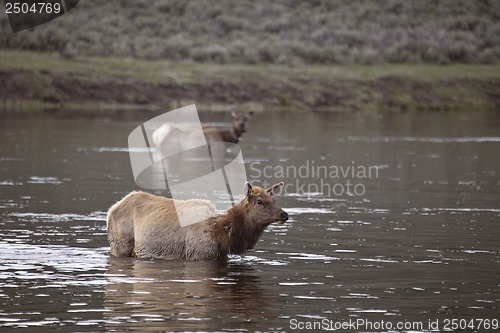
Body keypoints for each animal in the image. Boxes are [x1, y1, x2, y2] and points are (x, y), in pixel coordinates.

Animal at [108, 182, 290, 260]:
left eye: (274, 200)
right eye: (259, 201)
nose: (284, 215)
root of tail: (112, 209)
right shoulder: (199, 255)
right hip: (120, 245)